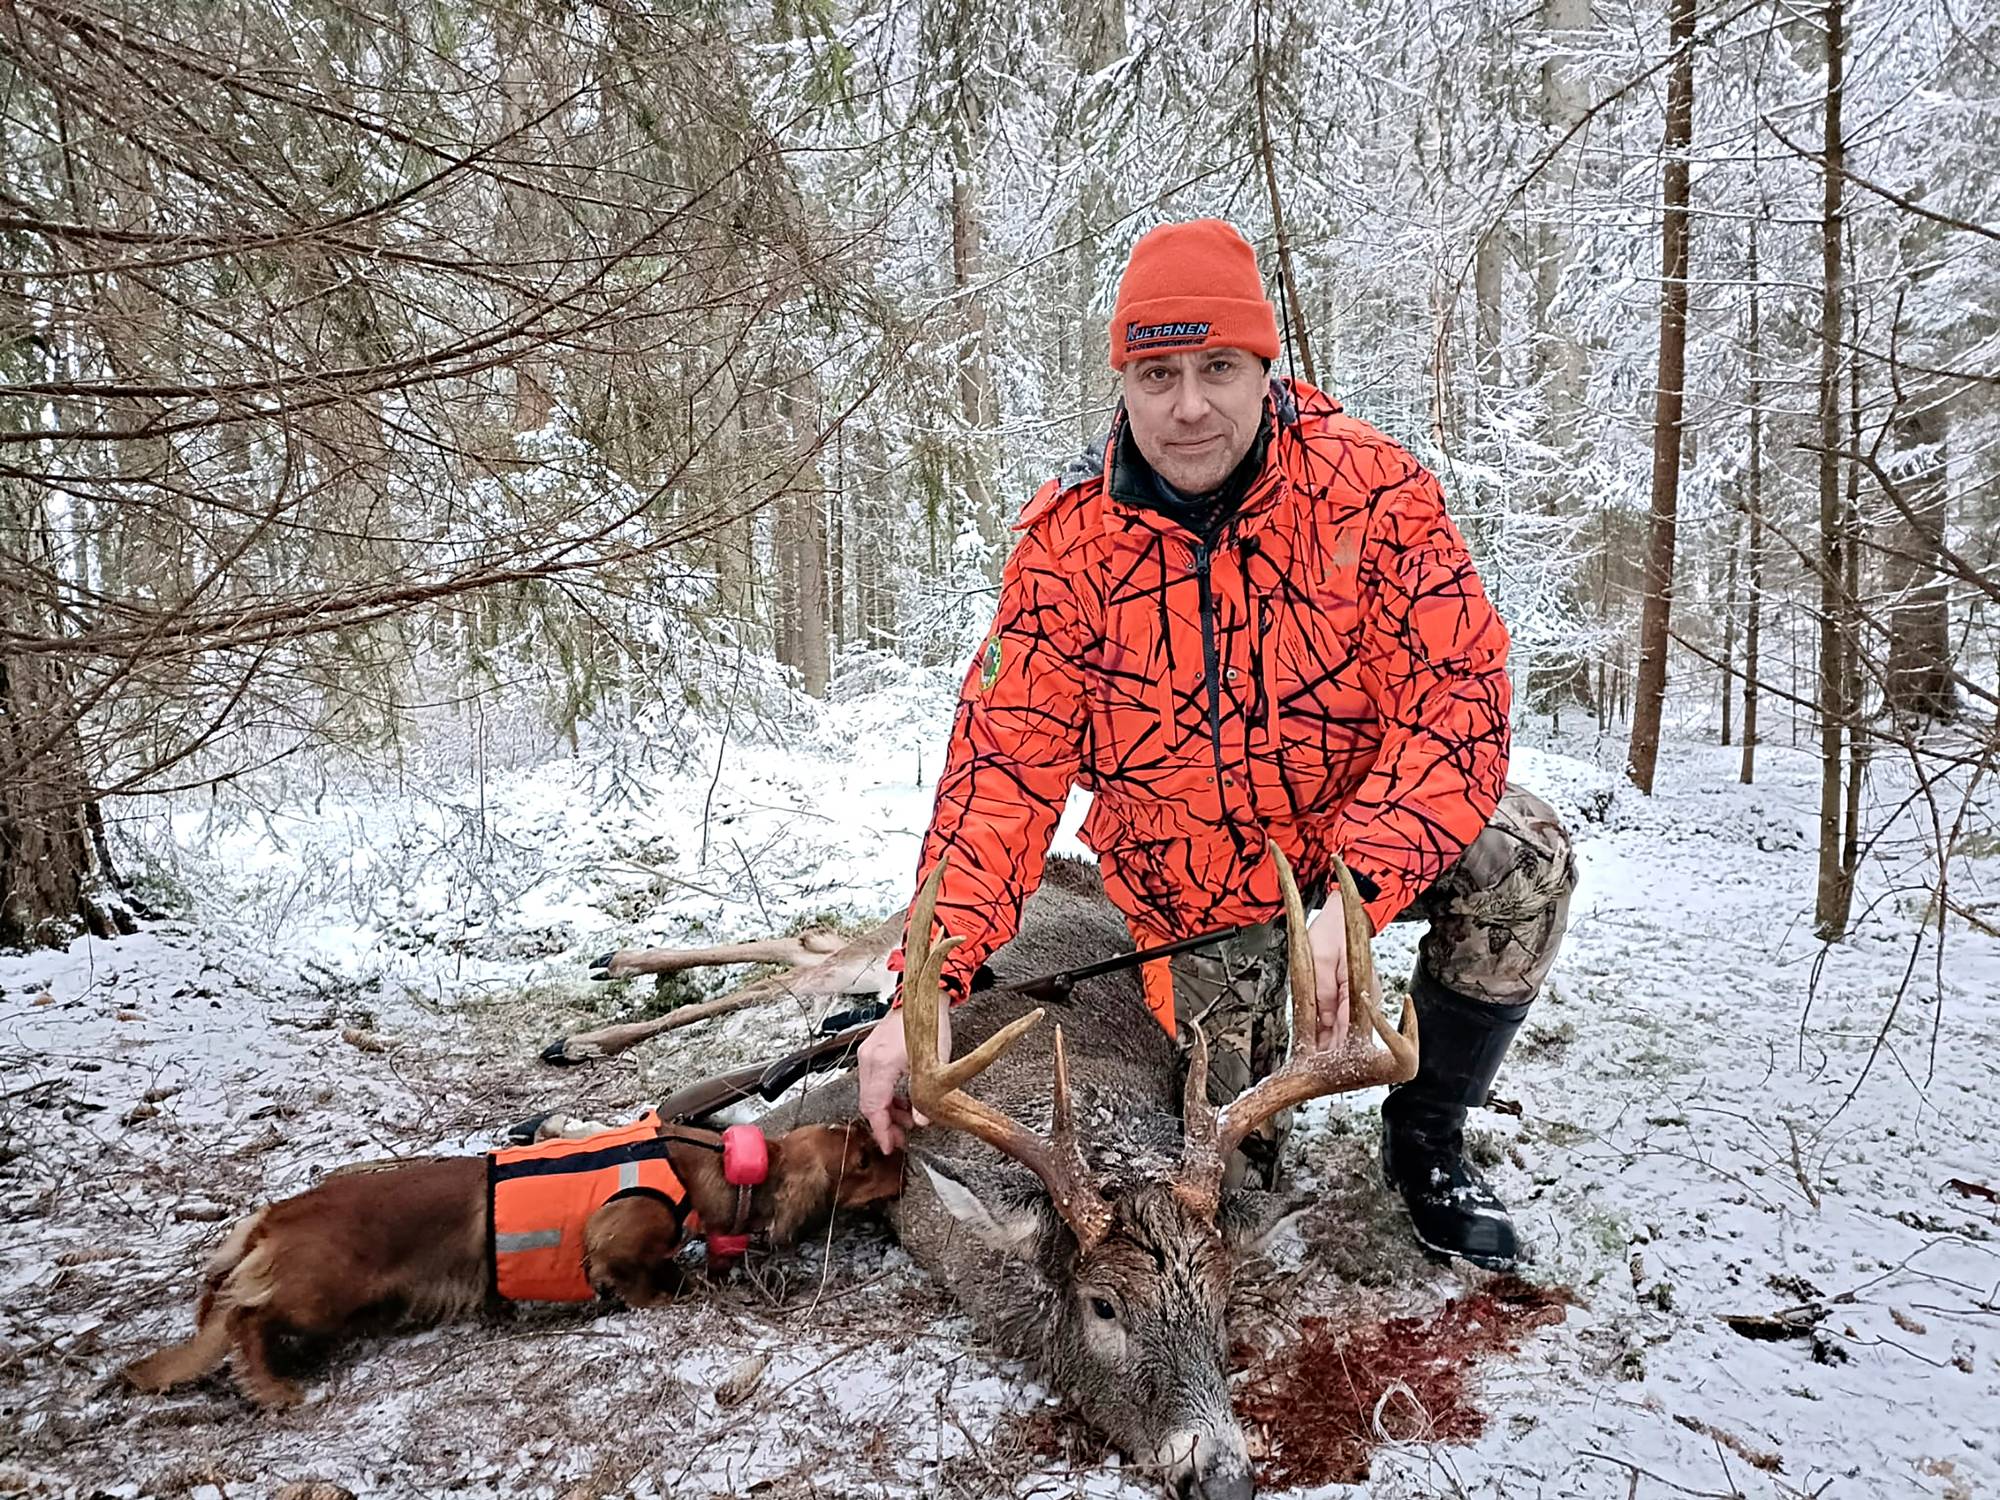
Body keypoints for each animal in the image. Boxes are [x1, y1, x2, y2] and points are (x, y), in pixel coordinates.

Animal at [123, 1120, 900, 1408]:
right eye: (865, 1161)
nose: (906, 1158)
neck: (712, 1167)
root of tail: (272, 1216)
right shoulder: (620, 1241)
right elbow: (644, 1281)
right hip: (320, 1294)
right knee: (243, 1317)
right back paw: (270, 1386)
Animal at [756, 852, 1416, 1496]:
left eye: (1222, 1298)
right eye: (1103, 1307)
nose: (1223, 1481)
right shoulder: (860, 1095)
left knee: (811, 948)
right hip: (887, 944)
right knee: (794, 970)